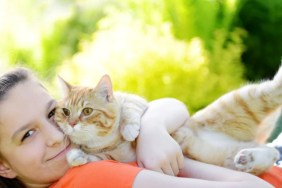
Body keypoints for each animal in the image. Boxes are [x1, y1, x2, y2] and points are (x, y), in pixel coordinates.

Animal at [54, 68, 280, 176]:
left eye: (87, 111)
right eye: (65, 111)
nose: (71, 123)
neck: (104, 142)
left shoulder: (136, 100)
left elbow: (130, 111)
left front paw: (129, 129)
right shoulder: (111, 158)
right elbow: (91, 158)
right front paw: (76, 156)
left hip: (244, 99)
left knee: (274, 88)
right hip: (229, 157)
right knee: (271, 153)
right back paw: (249, 158)